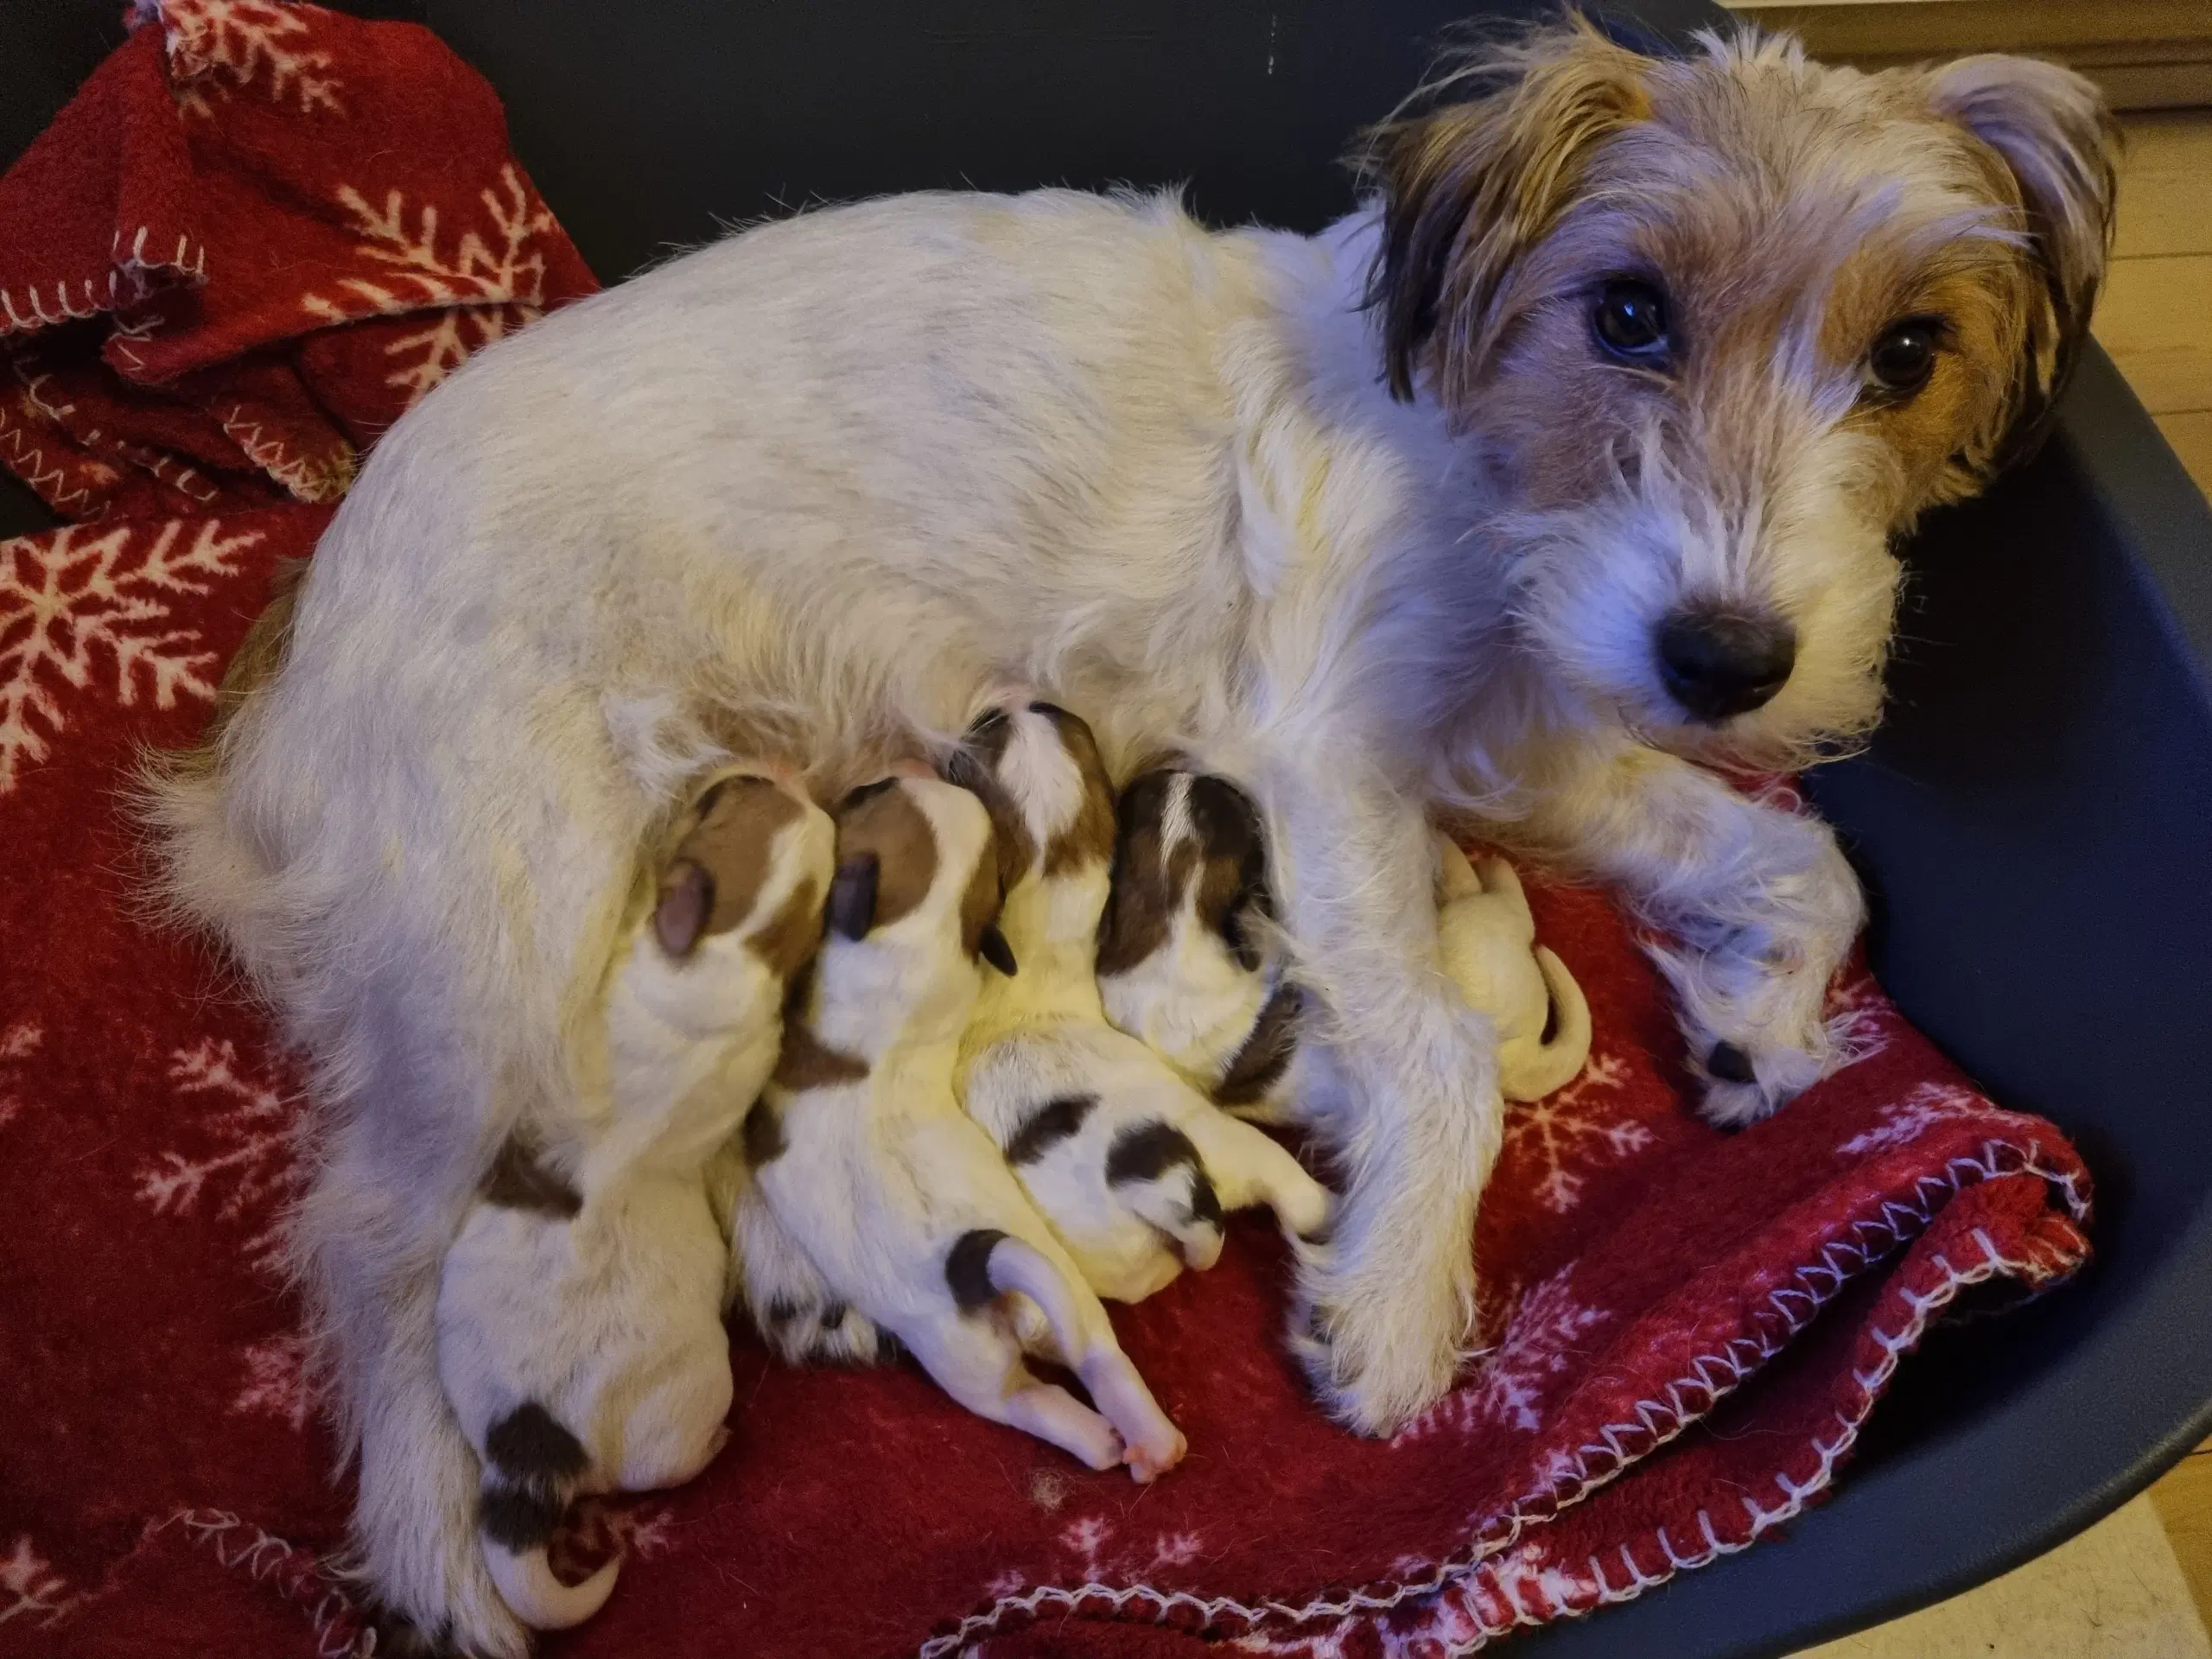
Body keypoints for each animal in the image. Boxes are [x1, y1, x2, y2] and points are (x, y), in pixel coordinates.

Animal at [739, 765, 1194, 1478]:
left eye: (870, 796)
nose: (902, 768)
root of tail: (972, 1270)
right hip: (1055, 1308)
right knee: (1093, 1369)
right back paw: (1146, 1443)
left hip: (962, 1365)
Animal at [1101, 765, 1592, 1119]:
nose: (1187, 770)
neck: (1171, 901)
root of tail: (1517, 1056)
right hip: (1474, 928)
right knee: (1501, 903)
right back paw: (1471, 860)